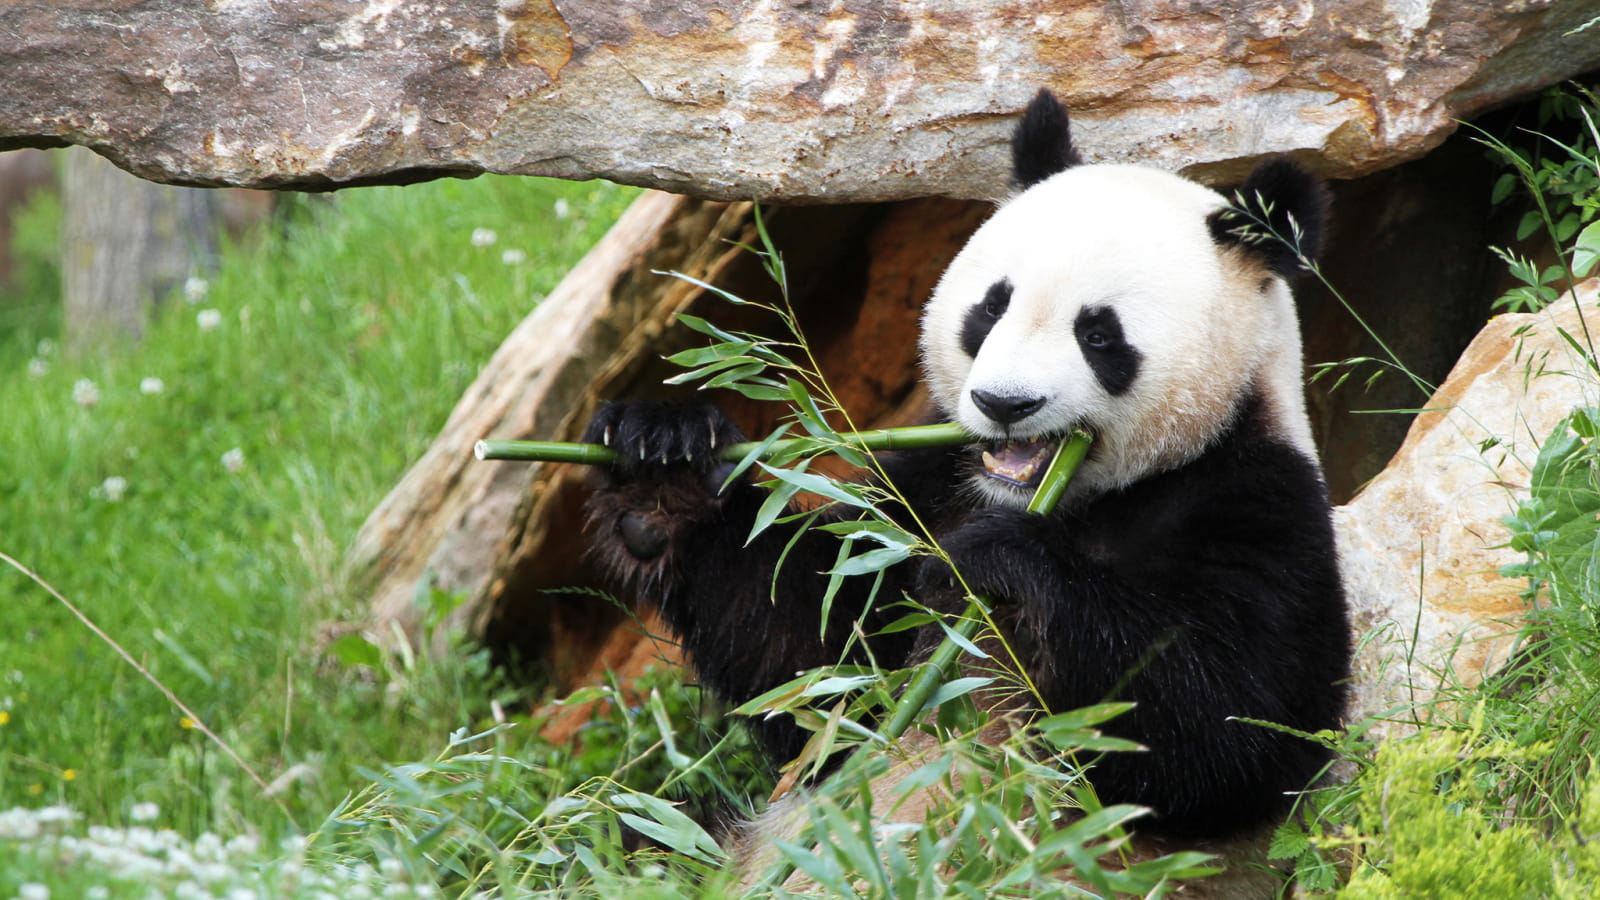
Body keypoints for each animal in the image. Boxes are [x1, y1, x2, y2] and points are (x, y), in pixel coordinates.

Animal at [581, 89, 1350, 841]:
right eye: (991, 306)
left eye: (1099, 335)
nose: (1004, 403)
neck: (1076, 498)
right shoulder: (930, 488)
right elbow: (814, 654)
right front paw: (663, 461)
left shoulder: (1252, 501)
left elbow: (1229, 729)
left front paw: (998, 562)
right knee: (637, 835)